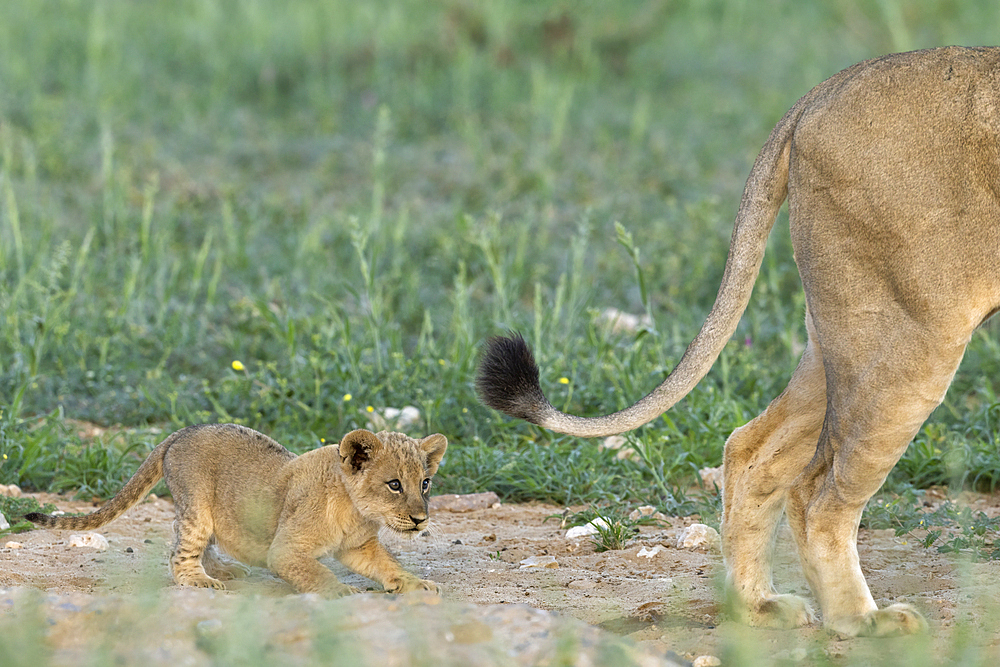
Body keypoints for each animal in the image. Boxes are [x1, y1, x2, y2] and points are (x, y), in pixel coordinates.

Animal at [478, 47, 1000, 636]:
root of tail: (824, 91)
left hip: (846, 332)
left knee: (751, 447)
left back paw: (759, 607)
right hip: (910, 333)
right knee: (816, 493)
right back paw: (863, 621)